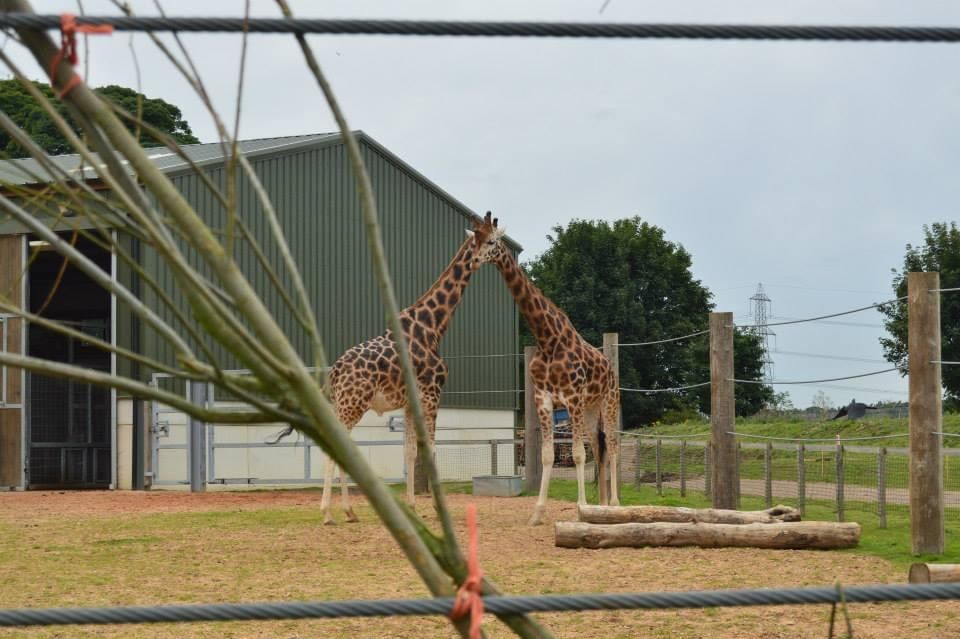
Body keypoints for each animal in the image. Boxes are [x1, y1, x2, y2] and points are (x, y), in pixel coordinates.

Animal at [322, 212, 506, 524]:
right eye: (493, 241)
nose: (502, 256)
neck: (432, 327)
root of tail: (334, 371)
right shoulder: (432, 395)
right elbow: (429, 450)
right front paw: (437, 507)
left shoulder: (410, 404)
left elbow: (409, 453)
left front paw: (411, 506)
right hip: (351, 405)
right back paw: (327, 513)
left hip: (344, 404)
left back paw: (348, 511)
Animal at [492, 230, 620, 524]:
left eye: (492, 242)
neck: (548, 341)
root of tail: (610, 368)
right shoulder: (545, 399)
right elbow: (548, 455)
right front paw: (537, 513)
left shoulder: (572, 399)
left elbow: (577, 455)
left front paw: (580, 508)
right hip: (590, 409)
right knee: (599, 447)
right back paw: (602, 505)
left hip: (608, 402)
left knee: (612, 444)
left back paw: (615, 503)